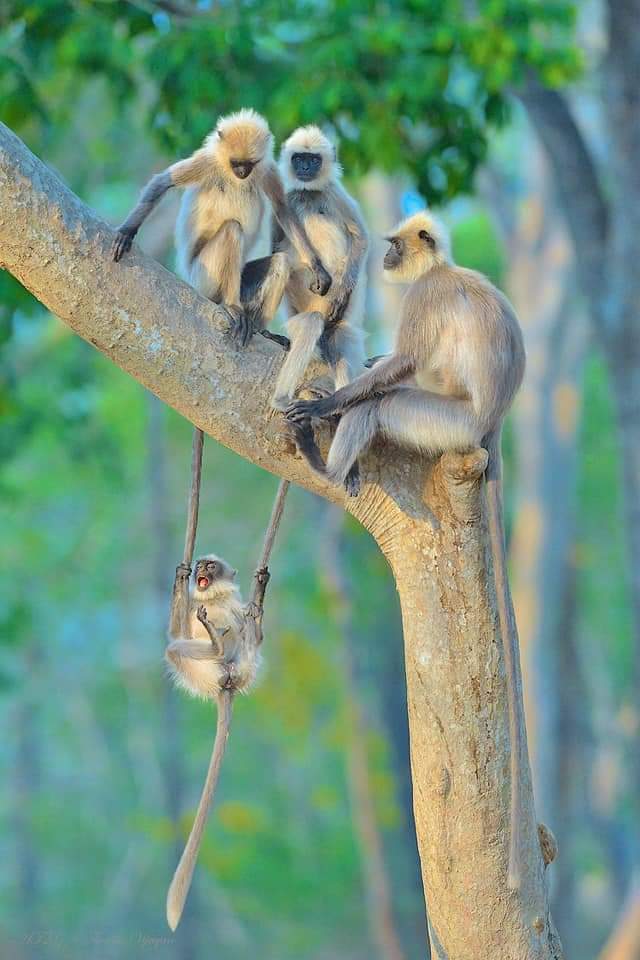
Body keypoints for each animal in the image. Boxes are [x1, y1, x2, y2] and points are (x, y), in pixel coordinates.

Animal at [112, 109, 331, 347]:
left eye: (249, 164)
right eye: (235, 163)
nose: (242, 172)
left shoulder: (267, 168)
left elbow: (282, 209)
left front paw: (317, 268)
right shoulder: (207, 161)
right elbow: (162, 183)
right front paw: (126, 232)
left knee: (281, 261)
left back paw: (261, 329)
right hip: (203, 278)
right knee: (232, 229)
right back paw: (232, 306)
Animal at [164, 552, 268, 930]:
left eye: (211, 565)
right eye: (201, 565)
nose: (199, 569)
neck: (214, 599)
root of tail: (225, 683)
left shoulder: (234, 607)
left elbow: (256, 631)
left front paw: (259, 593)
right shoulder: (195, 607)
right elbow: (175, 632)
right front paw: (179, 578)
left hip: (243, 667)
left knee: (249, 639)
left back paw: (231, 631)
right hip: (201, 673)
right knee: (176, 648)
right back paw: (214, 643)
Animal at [270, 125, 368, 410]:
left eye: (313, 160)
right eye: (299, 158)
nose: (304, 168)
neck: (309, 193)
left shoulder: (335, 193)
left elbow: (361, 238)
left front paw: (341, 292)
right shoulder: (288, 198)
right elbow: (275, 249)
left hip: (336, 320)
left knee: (339, 338)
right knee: (310, 324)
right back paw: (281, 399)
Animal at [286, 210, 528, 889]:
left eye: (394, 245)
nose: (388, 256)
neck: (441, 269)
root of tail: (490, 426)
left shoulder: (425, 298)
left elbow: (403, 366)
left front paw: (326, 404)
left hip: (446, 424)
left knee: (387, 403)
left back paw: (327, 462)